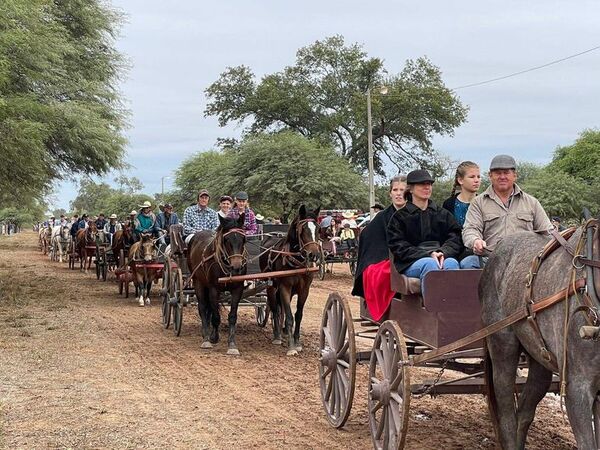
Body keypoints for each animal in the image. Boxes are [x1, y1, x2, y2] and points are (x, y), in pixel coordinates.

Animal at [187, 214, 247, 355]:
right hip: (198, 282)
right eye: (226, 240)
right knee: (203, 308)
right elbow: (216, 316)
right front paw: (213, 337)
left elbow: (232, 316)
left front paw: (232, 344)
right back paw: (206, 336)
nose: (237, 267)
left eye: (243, 239)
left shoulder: (238, 289)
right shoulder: (214, 289)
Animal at [259, 205, 320, 356]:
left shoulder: (305, 290)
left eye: (318, 228)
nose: (314, 255)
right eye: (303, 229)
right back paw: (277, 335)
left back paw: (284, 332)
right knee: (275, 309)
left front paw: (297, 342)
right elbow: (289, 316)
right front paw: (291, 347)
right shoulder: (284, 288)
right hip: (270, 286)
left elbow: (298, 315)